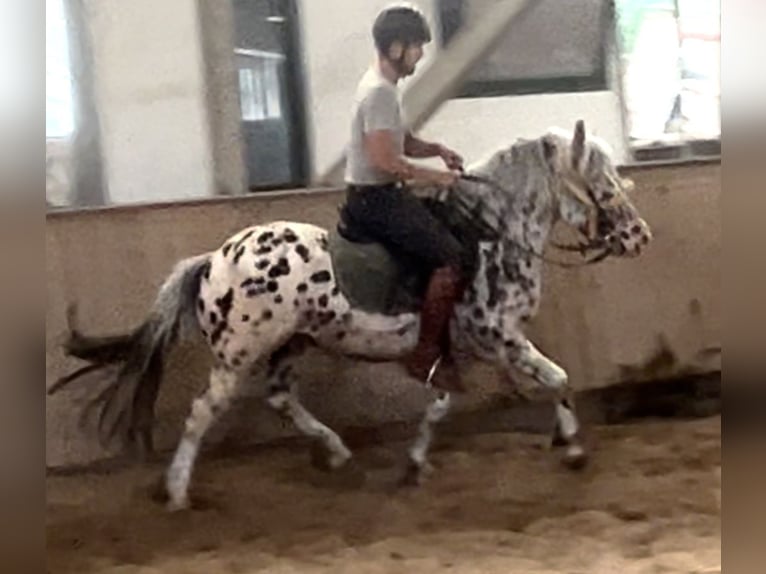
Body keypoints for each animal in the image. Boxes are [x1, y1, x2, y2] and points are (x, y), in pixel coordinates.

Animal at [51, 121, 656, 512]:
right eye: (604, 186)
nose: (639, 238)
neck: (491, 235)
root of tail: (215, 259)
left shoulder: (459, 347)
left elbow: (440, 406)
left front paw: (414, 465)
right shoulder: (499, 337)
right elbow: (557, 377)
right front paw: (574, 449)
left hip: (292, 343)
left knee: (280, 398)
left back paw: (338, 453)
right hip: (240, 352)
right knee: (203, 414)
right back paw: (177, 493)